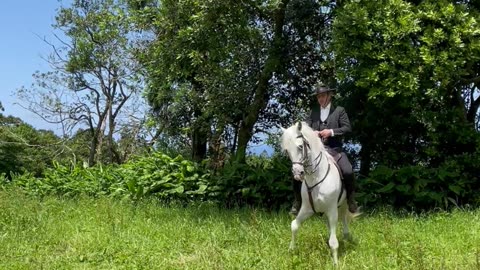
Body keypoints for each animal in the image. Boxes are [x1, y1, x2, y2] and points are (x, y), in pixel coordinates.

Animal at [280, 121, 354, 264]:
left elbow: (334, 241)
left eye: (300, 146)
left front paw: (335, 263)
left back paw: (347, 237)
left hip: (342, 206)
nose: (297, 173)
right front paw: (291, 250)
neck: (316, 178)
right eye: (287, 150)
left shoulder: (332, 210)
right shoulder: (306, 209)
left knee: (344, 219)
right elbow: (294, 226)